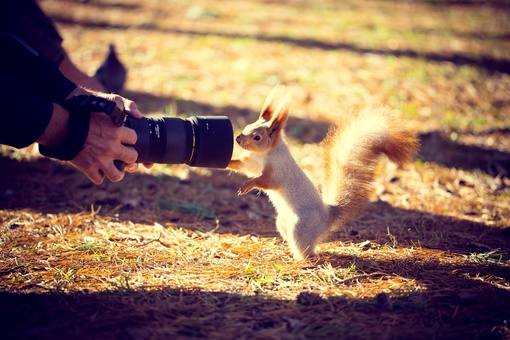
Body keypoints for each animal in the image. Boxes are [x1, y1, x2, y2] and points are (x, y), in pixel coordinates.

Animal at [227, 85, 418, 260]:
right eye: (247, 126)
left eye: (257, 137)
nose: (238, 139)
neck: (263, 154)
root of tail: (327, 220)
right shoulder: (251, 163)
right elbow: (243, 166)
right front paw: (229, 162)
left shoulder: (279, 171)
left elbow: (267, 181)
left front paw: (248, 185)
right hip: (283, 224)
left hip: (301, 227)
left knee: (308, 251)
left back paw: (301, 260)